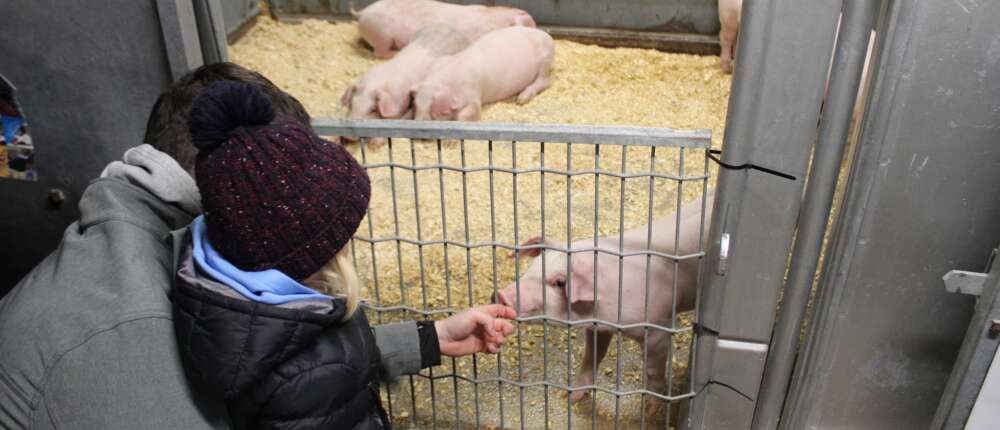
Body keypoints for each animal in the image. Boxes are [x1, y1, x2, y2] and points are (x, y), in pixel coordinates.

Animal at [412, 26, 554, 122]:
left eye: (437, 112)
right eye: (416, 105)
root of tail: (547, 37)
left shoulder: (473, 91)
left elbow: (473, 111)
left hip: (545, 59)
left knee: (545, 81)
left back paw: (521, 100)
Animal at [496, 194, 714, 408]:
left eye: (559, 282)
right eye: (532, 267)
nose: (500, 295)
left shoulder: (658, 327)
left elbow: (653, 369)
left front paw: (652, 408)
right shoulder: (598, 327)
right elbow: (592, 356)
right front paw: (570, 398)